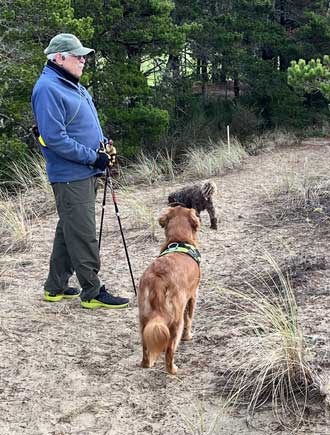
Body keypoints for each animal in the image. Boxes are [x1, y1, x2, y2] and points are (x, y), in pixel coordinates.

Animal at [137, 207, 200, 374]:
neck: (179, 239)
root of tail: (158, 279)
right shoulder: (193, 295)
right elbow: (189, 319)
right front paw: (188, 336)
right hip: (175, 321)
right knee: (169, 351)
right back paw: (173, 369)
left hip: (144, 320)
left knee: (145, 348)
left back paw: (147, 363)